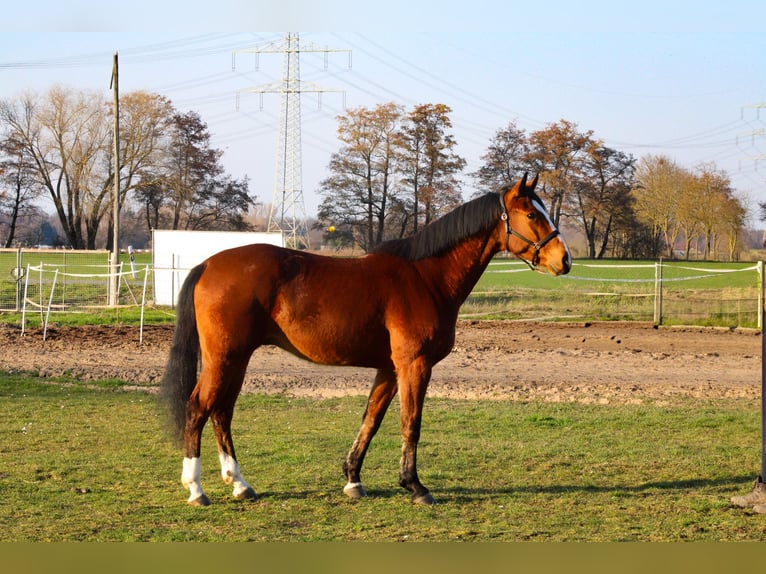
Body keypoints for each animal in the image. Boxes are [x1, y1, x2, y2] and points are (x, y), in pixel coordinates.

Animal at [161, 173, 571, 506]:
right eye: (532, 215)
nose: (564, 260)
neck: (425, 277)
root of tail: (208, 265)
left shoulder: (389, 369)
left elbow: (371, 420)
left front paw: (353, 480)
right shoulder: (414, 365)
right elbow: (411, 422)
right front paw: (415, 486)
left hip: (237, 358)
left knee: (222, 412)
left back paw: (240, 484)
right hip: (225, 358)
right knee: (198, 408)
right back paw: (196, 489)